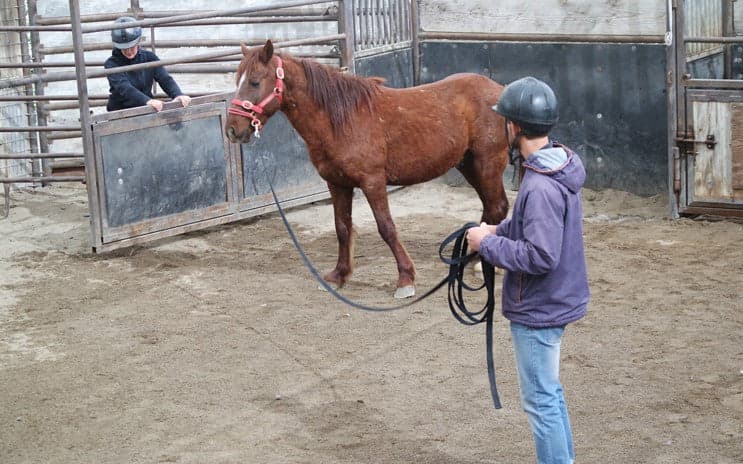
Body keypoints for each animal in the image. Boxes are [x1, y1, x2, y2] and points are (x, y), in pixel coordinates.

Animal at [226, 40, 509, 299]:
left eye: (254, 82)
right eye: (237, 79)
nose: (232, 130)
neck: (341, 119)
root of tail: (500, 90)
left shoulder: (373, 181)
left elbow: (386, 227)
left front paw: (405, 279)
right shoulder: (337, 183)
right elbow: (342, 228)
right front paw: (339, 276)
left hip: (487, 163)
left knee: (497, 206)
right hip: (469, 164)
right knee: (491, 207)